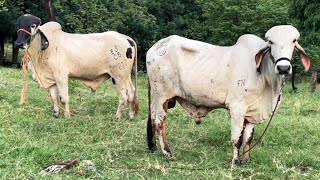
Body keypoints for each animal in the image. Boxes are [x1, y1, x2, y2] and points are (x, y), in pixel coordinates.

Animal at [147, 25, 310, 165]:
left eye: (294, 41)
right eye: (271, 42)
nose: (283, 67)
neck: (265, 77)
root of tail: (157, 46)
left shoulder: (251, 111)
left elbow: (248, 138)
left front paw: (247, 159)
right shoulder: (237, 108)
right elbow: (237, 138)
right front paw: (235, 161)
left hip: (157, 99)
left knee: (153, 117)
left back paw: (153, 147)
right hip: (162, 96)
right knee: (160, 122)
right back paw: (167, 153)